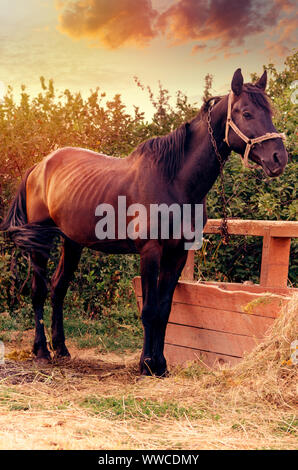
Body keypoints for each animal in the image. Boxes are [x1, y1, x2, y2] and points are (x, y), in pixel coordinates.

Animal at [1, 68, 288, 376]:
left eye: (270, 112)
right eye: (246, 113)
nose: (279, 159)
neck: (173, 180)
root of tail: (39, 166)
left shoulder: (177, 253)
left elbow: (164, 310)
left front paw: (160, 365)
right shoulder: (151, 251)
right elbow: (149, 310)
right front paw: (147, 364)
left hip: (72, 242)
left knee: (58, 288)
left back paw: (62, 350)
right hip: (41, 243)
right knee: (39, 291)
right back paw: (42, 351)